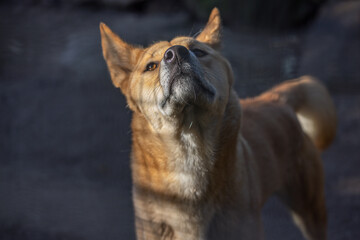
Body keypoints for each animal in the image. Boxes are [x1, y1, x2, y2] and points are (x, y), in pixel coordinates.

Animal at [100, 7, 336, 240]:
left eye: (199, 52)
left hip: (309, 209)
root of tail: (277, 99)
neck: (190, 144)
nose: (176, 53)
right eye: (151, 66)